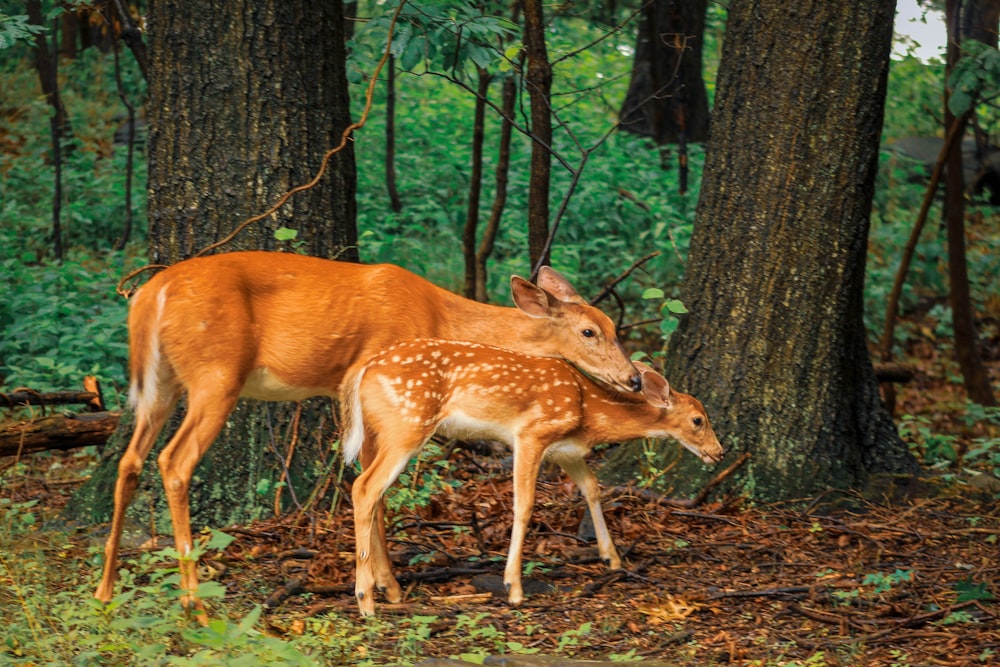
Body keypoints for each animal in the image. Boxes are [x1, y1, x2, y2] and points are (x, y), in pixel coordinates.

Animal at [95, 252, 640, 620]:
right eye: (590, 331)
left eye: (615, 326)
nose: (634, 378)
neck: (442, 316)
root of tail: (148, 295)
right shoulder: (384, 380)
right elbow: (373, 490)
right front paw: (385, 588)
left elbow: (366, 484)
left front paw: (384, 584)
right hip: (216, 374)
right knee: (174, 462)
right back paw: (195, 604)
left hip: (163, 380)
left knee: (129, 461)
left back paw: (105, 589)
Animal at [340, 340, 724, 616]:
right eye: (698, 420)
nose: (719, 453)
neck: (588, 410)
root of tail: (362, 371)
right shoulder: (531, 434)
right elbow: (524, 505)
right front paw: (514, 588)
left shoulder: (565, 450)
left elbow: (592, 487)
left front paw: (611, 558)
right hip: (407, 424)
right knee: (364, 488)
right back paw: (365, 600)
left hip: (379, 433)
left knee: (375, 495)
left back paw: (390, 589)